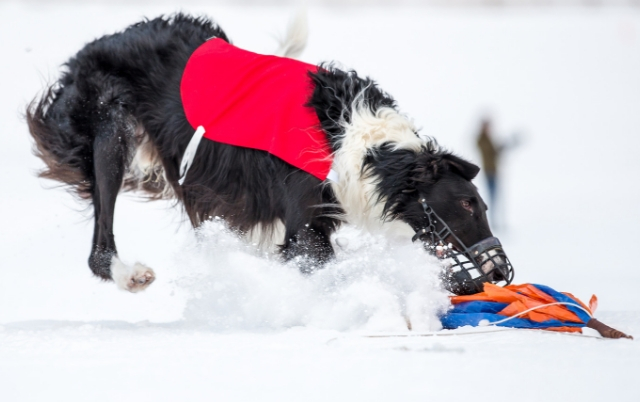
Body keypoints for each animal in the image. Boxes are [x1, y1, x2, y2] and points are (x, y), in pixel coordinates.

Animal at [27, 13, 516, 296]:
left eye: (482, 204)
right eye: (468, 204)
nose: (498, 273)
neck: (356, 140)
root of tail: (88, 50)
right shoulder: (303, 228)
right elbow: (317, 263)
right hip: (110, 130)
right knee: (98, 247)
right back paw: (129, 275)